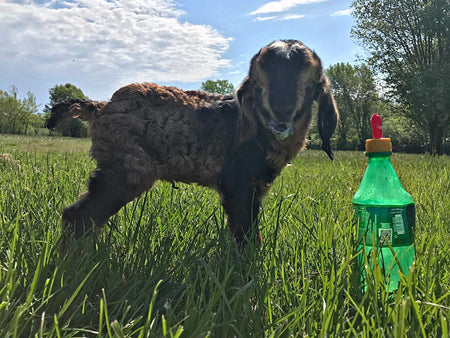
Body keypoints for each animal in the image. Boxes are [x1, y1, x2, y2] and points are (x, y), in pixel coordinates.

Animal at [47, 40, 340, 246]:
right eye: (260, 84)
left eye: (308, 84)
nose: (281, 110)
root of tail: (99, 107)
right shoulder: (238, 184)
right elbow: (245, 235)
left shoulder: (255, 187)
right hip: (127, 167)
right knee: (79, 215)